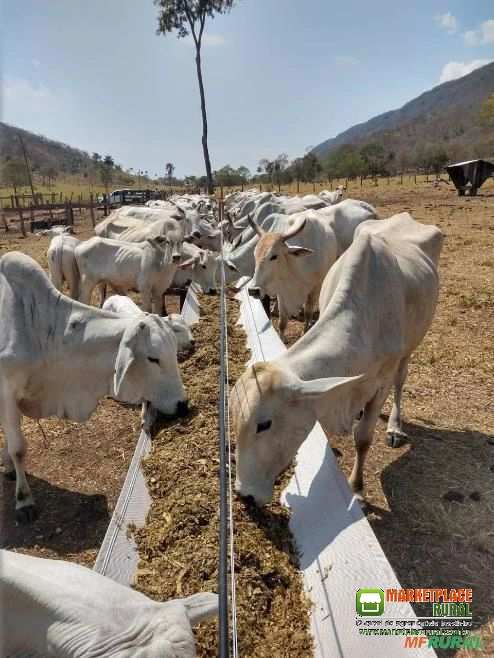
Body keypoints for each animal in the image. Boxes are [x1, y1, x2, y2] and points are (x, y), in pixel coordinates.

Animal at [0, 250, 187, 516]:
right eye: (153, 358)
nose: (183, 405)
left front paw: (8, 467)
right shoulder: (6, 391)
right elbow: (18, 448)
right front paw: (24, 500)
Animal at [232, 213, 444, 504]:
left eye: (264, 424)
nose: (244, 495)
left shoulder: (381, 382)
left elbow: (363, 438)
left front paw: (356, 488)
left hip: (412, 343)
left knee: (401, 381)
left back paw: (394, 427)